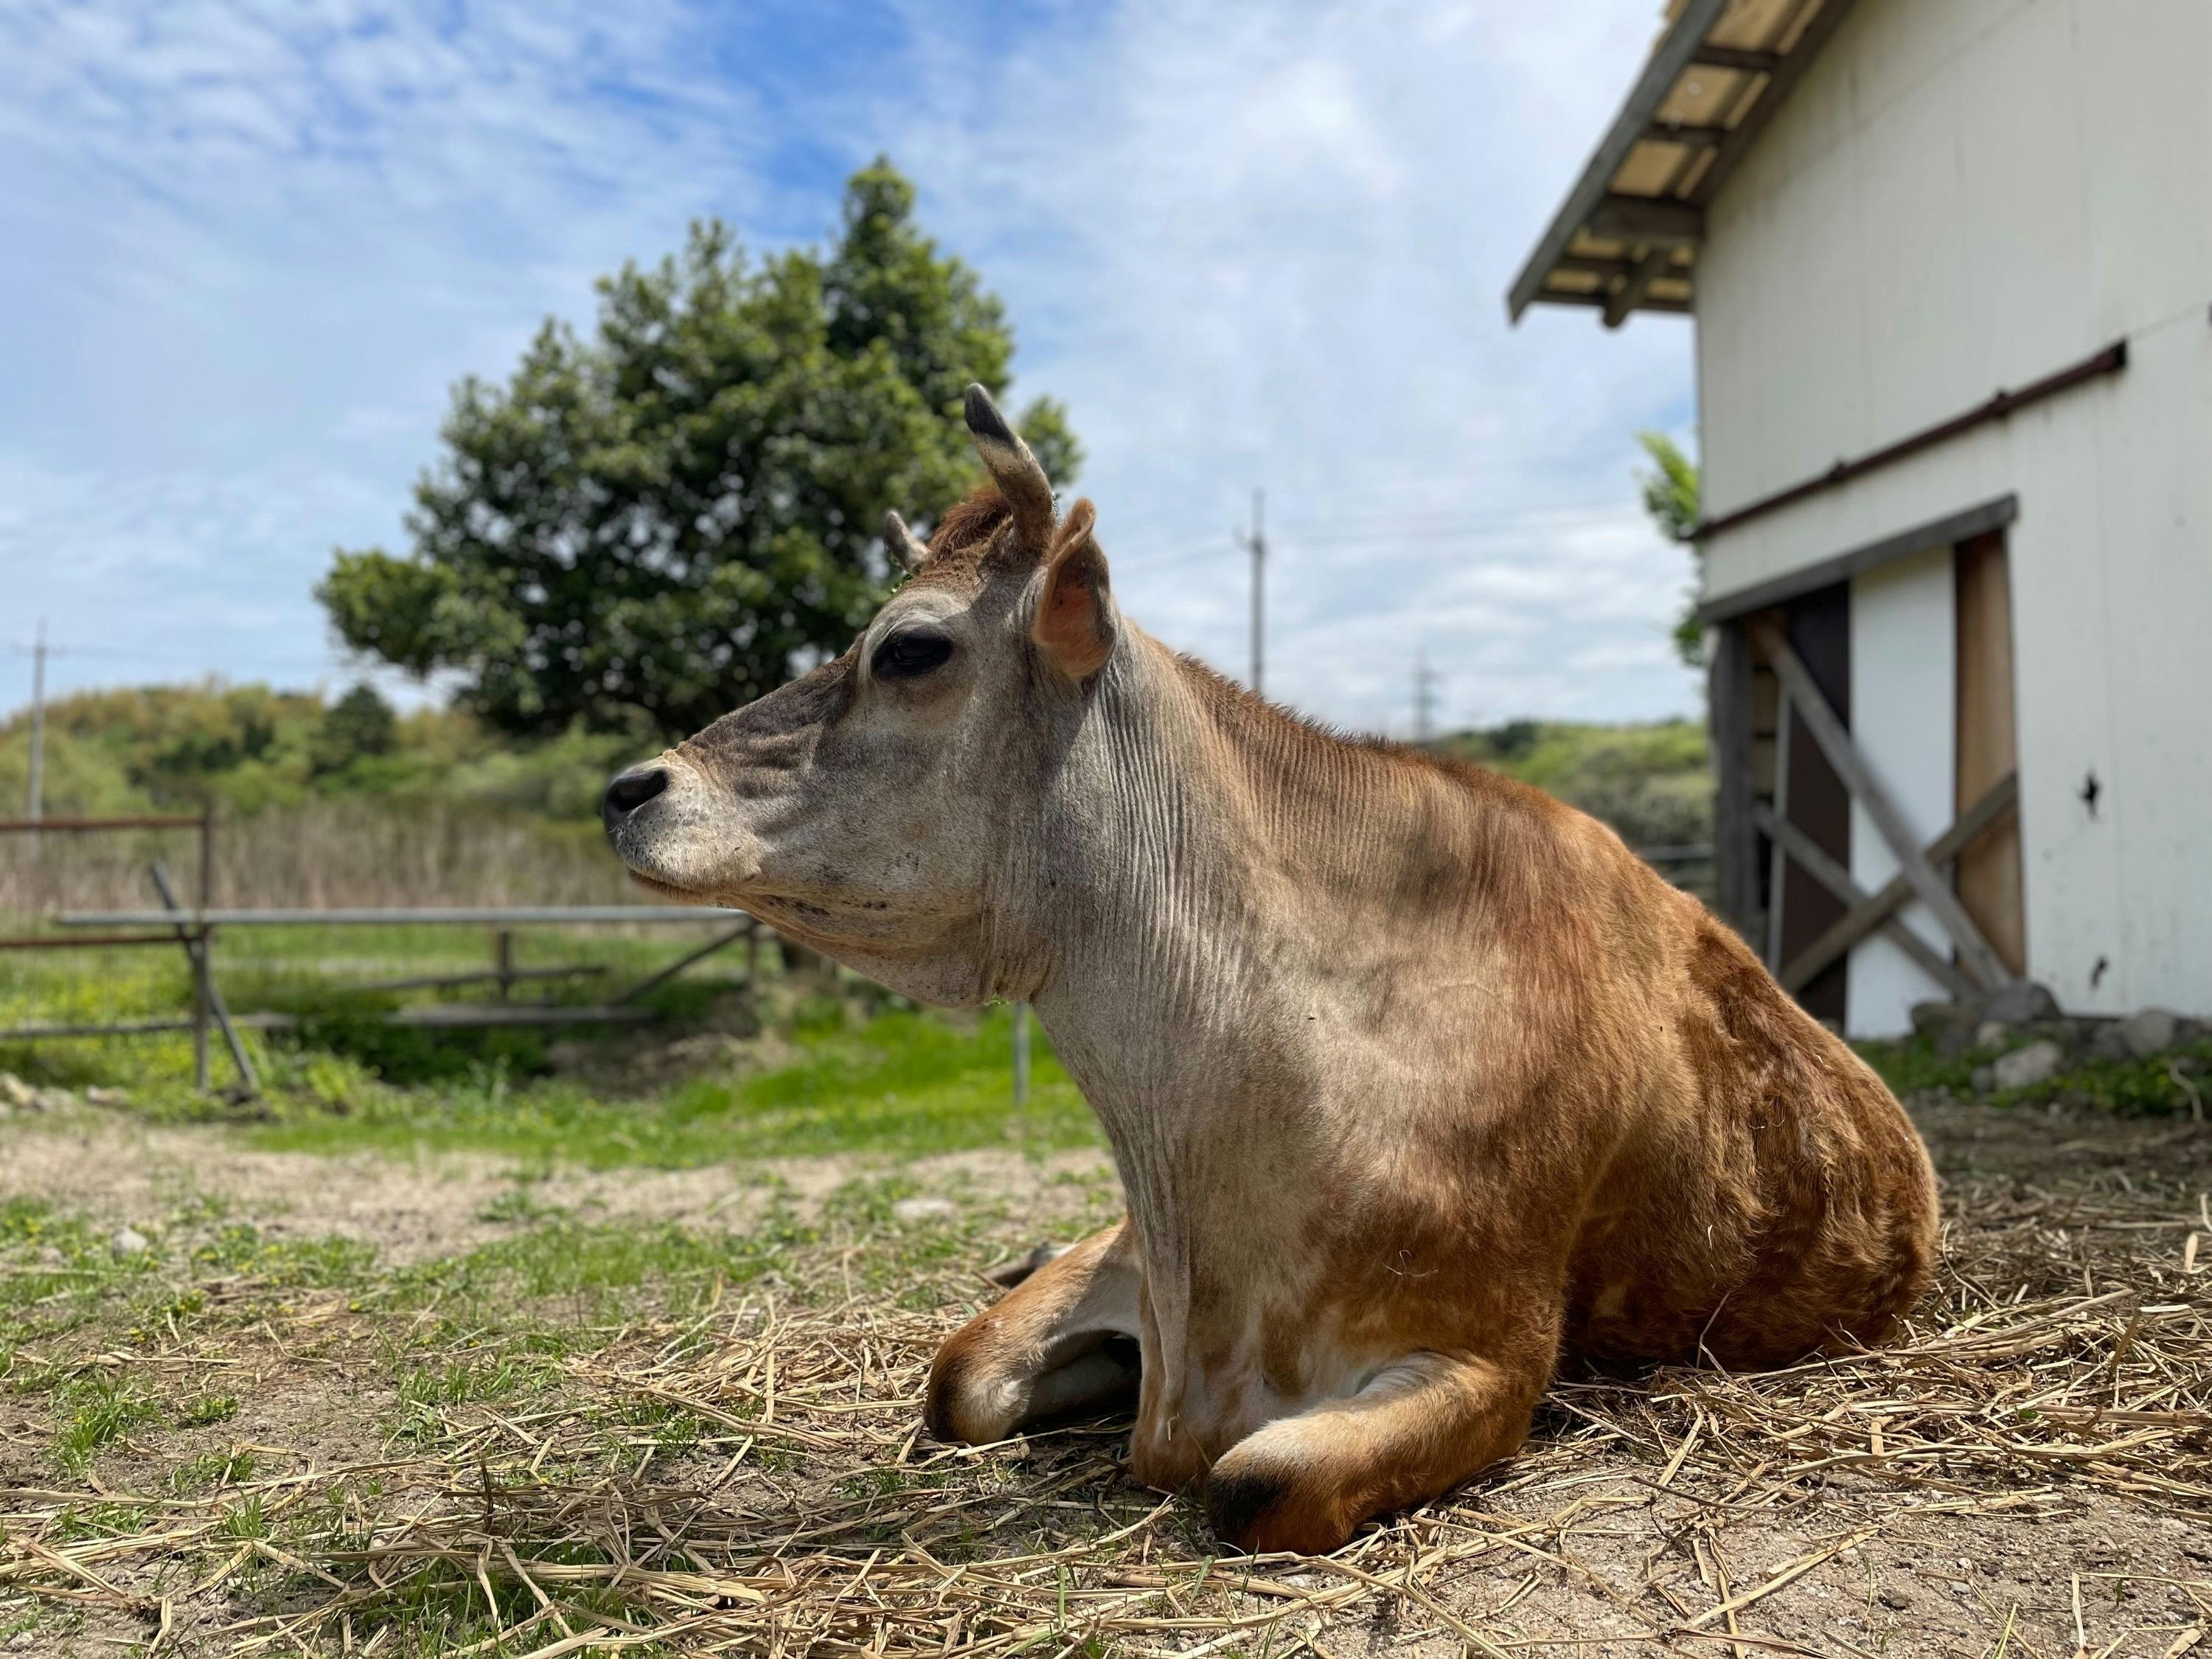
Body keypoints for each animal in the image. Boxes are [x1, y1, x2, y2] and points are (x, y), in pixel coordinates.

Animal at [602, 389, 1938, 1557]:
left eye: (912, 649)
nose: (628, 787)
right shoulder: (1126, 1260)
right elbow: (959, 1377)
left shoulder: (1489, 1354)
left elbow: (1255, 1483)